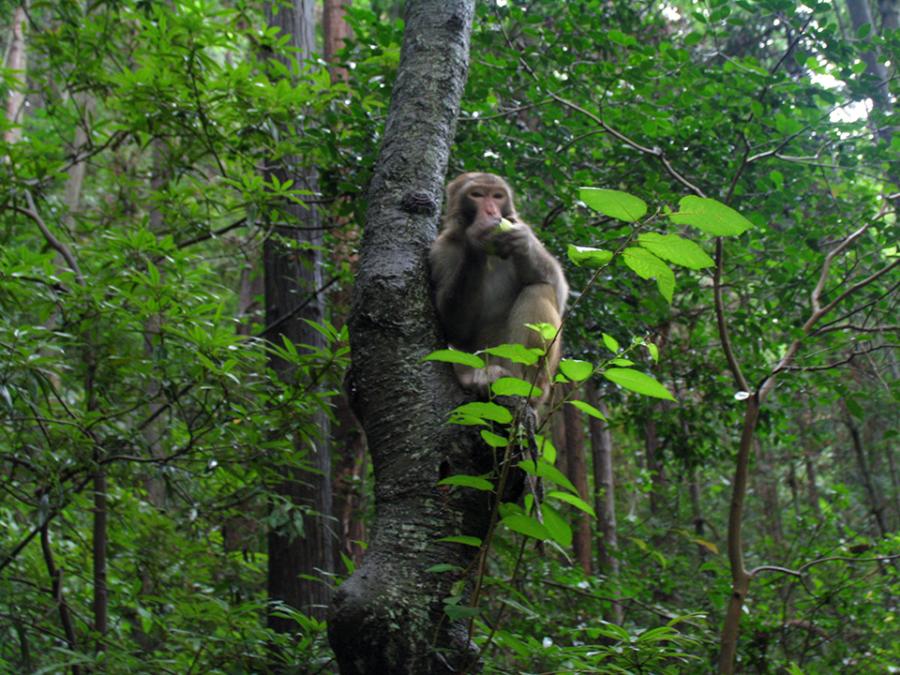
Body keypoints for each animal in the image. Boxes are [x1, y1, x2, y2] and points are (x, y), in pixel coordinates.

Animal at [430, 172, 568, 404]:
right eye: (477, 195)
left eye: (497, 196)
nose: (490, 211)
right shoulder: (440, 252)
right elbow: (455, 329)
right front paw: (476, 239)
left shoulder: (522, 225)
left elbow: (558, 286)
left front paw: (522, 243)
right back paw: (471, 379)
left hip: (541, 380)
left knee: (538, 288)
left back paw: (518, 381)